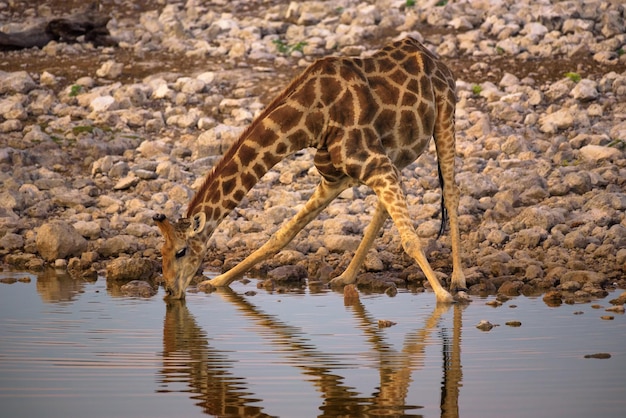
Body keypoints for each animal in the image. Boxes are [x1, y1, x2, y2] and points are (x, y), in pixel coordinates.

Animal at [151, 36, 464, 300]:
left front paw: (443, 298)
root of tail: (430, 54)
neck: (312, 120)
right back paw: (344, 277)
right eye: (161, 251)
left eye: (180, 252)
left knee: (450, 192)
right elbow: (281, 236)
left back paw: (457, 281)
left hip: (445, 115)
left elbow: (411, 240)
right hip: (396, 154)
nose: (170, 292)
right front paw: (216, 282)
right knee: (385, 207)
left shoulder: (375, 165)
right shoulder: (336, 178)